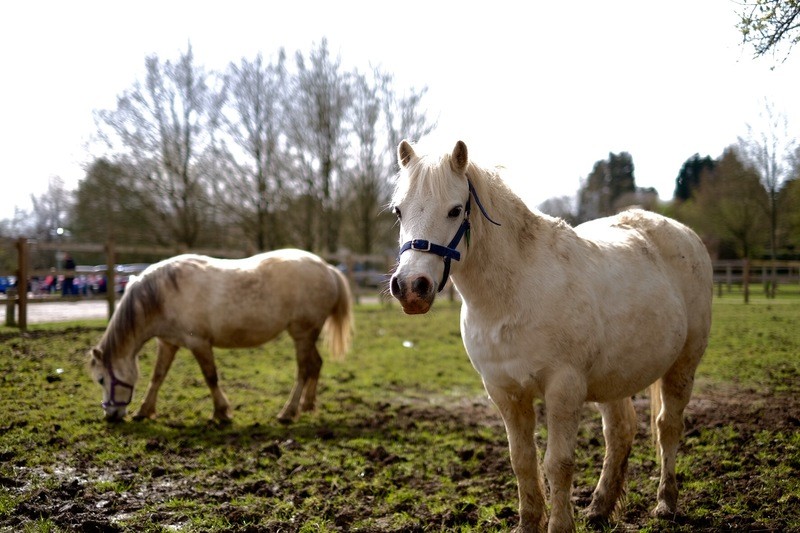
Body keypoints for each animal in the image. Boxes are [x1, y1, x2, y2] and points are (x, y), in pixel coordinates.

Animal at [89, 248, 352, 424]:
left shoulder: (199, 343)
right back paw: (307, 406)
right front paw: (144, 411)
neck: (164, 295)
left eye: (101, 379)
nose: (110, 415)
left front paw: (221, 412)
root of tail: (328, 268)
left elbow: (211, 377)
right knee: (316, 364)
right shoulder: (168, 343)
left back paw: (288, 412)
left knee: (304, 370)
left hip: (302, 334)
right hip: (308, 336)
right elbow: (158, 377)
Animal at [390, 140, 708, 532]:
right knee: (620, 433)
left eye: (455, 210)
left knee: (668, 427)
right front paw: (528, 522)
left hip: (683, 365)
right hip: (614, 379)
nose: (411, 288)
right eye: (399, 211)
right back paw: (599, 508)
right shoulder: (505, 392)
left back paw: (665, 503)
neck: (514, 292)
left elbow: (558, 463)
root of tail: (683, 233)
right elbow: (522, 460)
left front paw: (559, 524)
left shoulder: (563, 388)